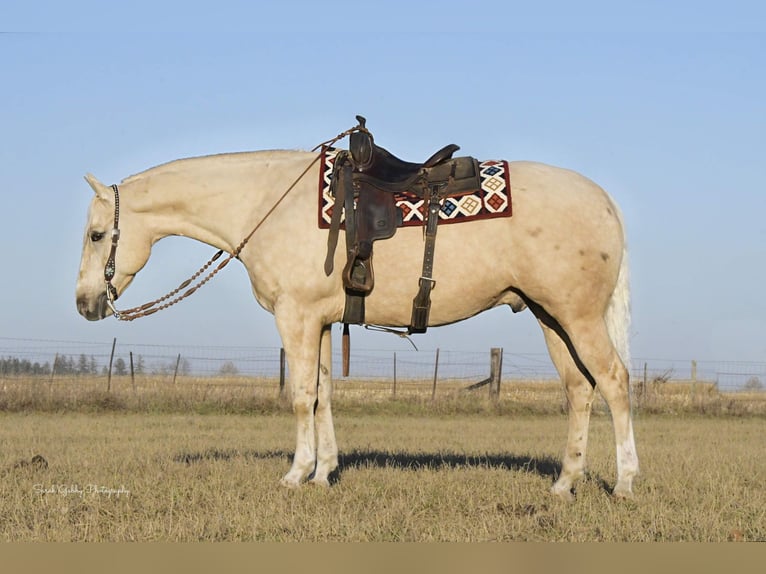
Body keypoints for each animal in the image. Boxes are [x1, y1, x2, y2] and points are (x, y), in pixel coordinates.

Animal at [76, 147, 640, 500]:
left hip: (576, 317)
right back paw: (564, 483)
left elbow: (302, 395)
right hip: (551, 317)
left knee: (613, 382)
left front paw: (296, 473)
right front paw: (324, 473)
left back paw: (625, 482)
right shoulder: (321, 323)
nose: (85, 303)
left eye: (98, 234)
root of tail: (605, 200)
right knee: (579, 389)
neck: (267, 205)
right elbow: (324, 392)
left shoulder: (296, 317)